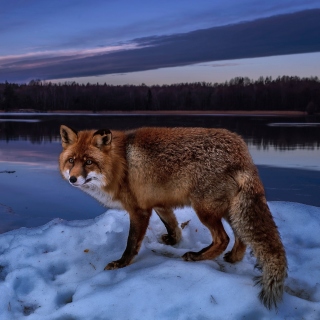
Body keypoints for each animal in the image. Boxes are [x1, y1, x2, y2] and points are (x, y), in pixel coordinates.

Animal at [59, 124, 288, 308]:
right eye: (71, 160)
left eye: (89, 162)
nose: (73, 179)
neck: (121, 163)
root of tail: (242, 151)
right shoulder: (159, 203)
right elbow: (173, 226)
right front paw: (172, 241)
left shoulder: (139, 210)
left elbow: (131, 243)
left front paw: (121, 264)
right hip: (229, 210)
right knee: (241, 237)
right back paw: (232, 258)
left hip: (205, 210)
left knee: (223, 239)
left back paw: (197, 257)